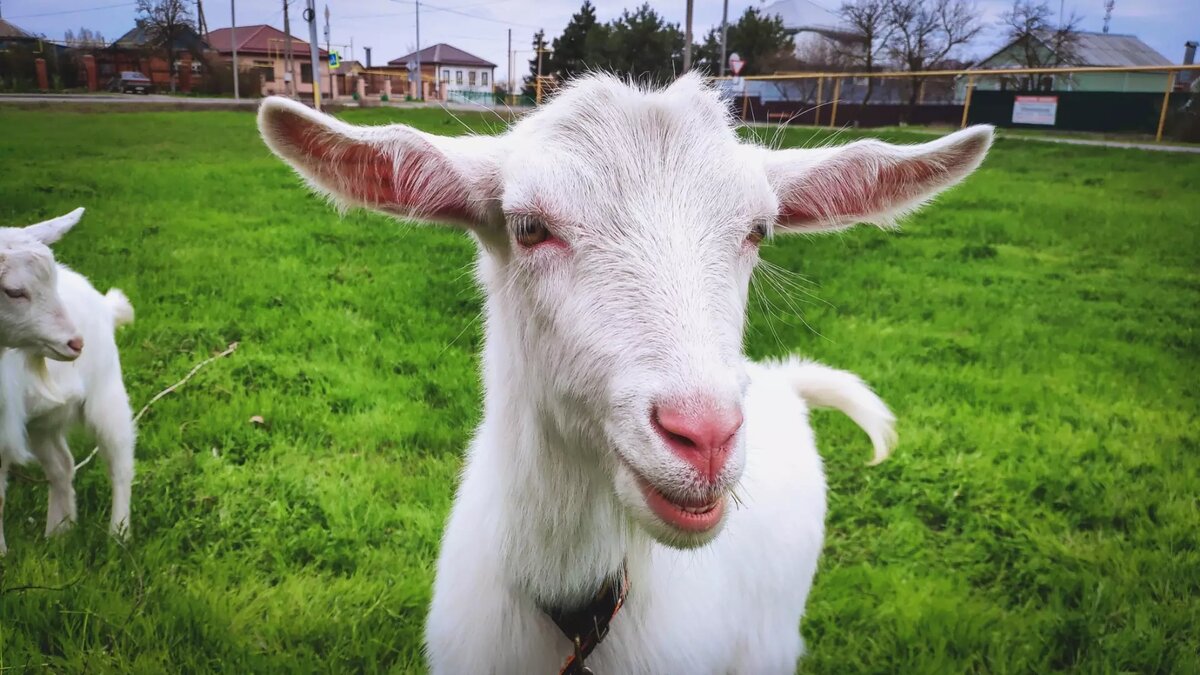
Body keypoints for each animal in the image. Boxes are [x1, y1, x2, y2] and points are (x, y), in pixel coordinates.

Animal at [0, 208, 137, 552]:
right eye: (14, 291)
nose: (75, 342)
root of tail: (105, 304)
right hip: (42, 418)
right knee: (62, 464)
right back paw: (59, 532)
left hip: (107, 392)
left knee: (120, 461)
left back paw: (119, 535)